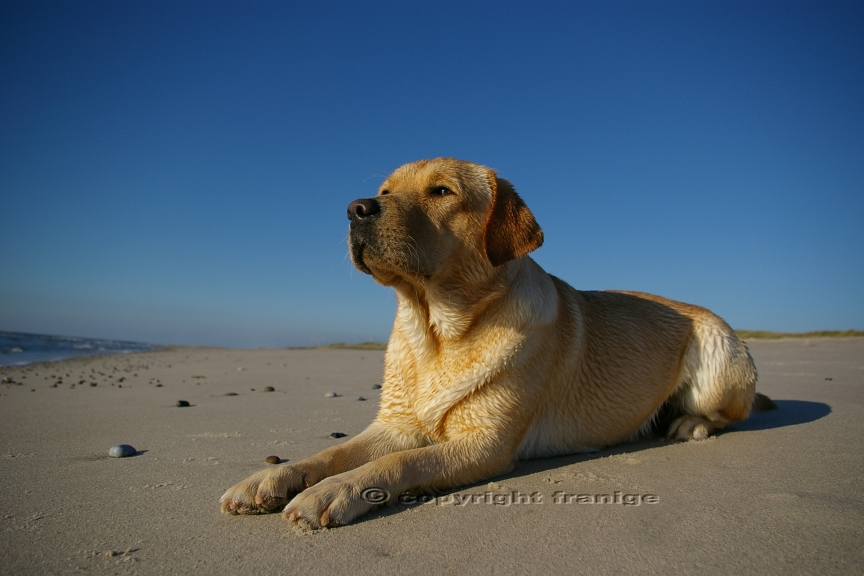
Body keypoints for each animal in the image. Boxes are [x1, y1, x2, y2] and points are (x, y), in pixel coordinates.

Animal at [219, 159, 768, 532]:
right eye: (384, 191)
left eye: (441, 191)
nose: (356, 209)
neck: (437, 331)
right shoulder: (395, 424)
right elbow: (331, 452)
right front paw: (270, 478)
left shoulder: (487, 442)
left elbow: (398, 463)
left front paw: (334, 492)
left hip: (718, 352)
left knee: (727, 413)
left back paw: (690, 423)